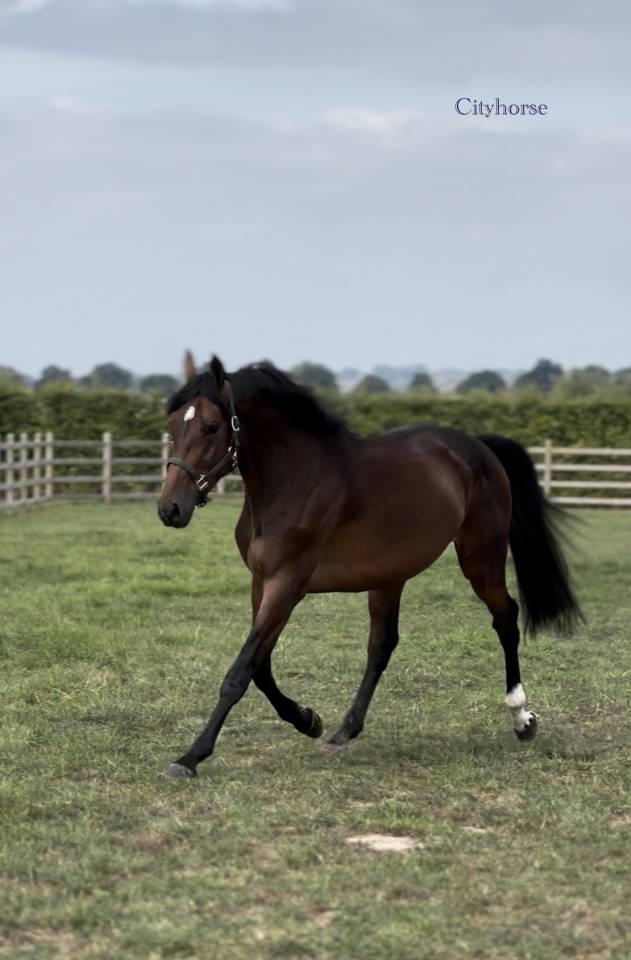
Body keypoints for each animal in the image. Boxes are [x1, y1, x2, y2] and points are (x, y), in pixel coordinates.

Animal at [157, 354, 580, 779]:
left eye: (211, 427)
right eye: (173, 425)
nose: (170, 509)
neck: (295, 482)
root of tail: (478, 447)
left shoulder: (287, 585)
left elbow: (240, 671)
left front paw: (190, 757)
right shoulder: (261, 582)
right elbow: (260, 668)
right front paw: (309, 720)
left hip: (480, 560)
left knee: (505, 618)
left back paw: (521, 718)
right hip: (390, 575)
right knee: (382, 645)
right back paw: (344, 730)